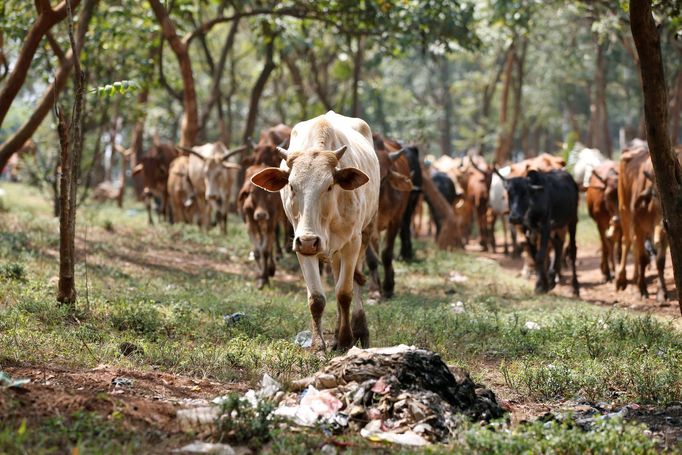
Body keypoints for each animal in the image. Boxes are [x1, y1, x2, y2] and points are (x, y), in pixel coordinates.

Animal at [251, 111, 380, 352]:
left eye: (329, 186)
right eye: (292, 186)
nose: (310, 240)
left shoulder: (352, 243)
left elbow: (344, 293)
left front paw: (346, 340)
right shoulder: (301, 244)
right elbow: (317, 299)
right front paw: (319, 346)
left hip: (365, 234)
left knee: (355, 282)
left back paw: (359, 332)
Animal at [366, 134, 414, 300]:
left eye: (385, 177)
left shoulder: (395, 221)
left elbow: (386, 254)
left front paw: (388, 287)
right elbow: (371, 258)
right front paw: (374, 289)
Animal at [502, 169, 576, 298]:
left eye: (525, 193)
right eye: (509, 194)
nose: (514, 218)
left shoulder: (545, 226)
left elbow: (540, 256)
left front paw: (541, 286)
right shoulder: (527, 230)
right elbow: (534, 256)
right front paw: (542, 284)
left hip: (572, 220)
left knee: (572, 249)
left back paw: (576, 288)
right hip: (556, 227)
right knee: (558, 244)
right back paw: (552, 278)